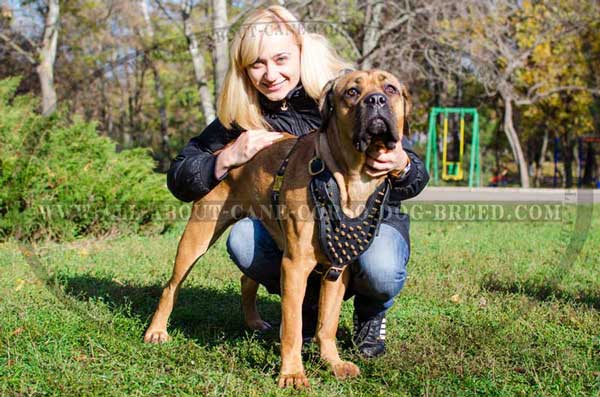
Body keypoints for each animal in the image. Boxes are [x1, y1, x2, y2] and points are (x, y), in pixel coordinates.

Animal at [143, 70, 410, 386]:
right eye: (352, 92)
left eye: (390, 88)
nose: (377, 100)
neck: (348, 177)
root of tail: (225, 149)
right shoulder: (295, 265)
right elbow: (293, 327)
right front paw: (292, 373)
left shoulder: (337, 268)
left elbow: (327, 324)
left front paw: (332, 362)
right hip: (197, 235)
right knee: (171, 287)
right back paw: (156, 331)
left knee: (247, 280)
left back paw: (254, 321)